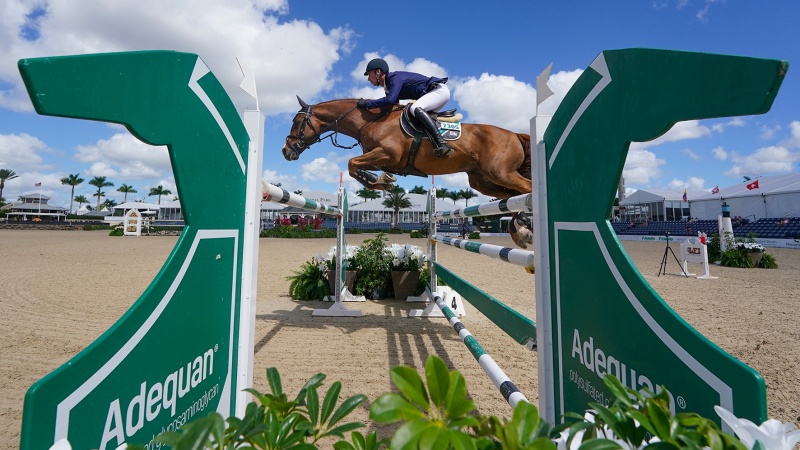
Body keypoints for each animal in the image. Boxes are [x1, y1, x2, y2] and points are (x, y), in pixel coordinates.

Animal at [278, 96, 536, 248]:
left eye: (296, 121)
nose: (285, 151)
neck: (369, 121)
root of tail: (514, 134)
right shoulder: (382, 158)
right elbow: (355, 167)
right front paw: (379, 181)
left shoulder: (388, 155)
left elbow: (352, 164)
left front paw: (380, 180)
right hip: (483, 180)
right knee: (513, 196)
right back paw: (519, 229)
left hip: (500, 172)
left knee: (528, 190)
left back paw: (525, 225)